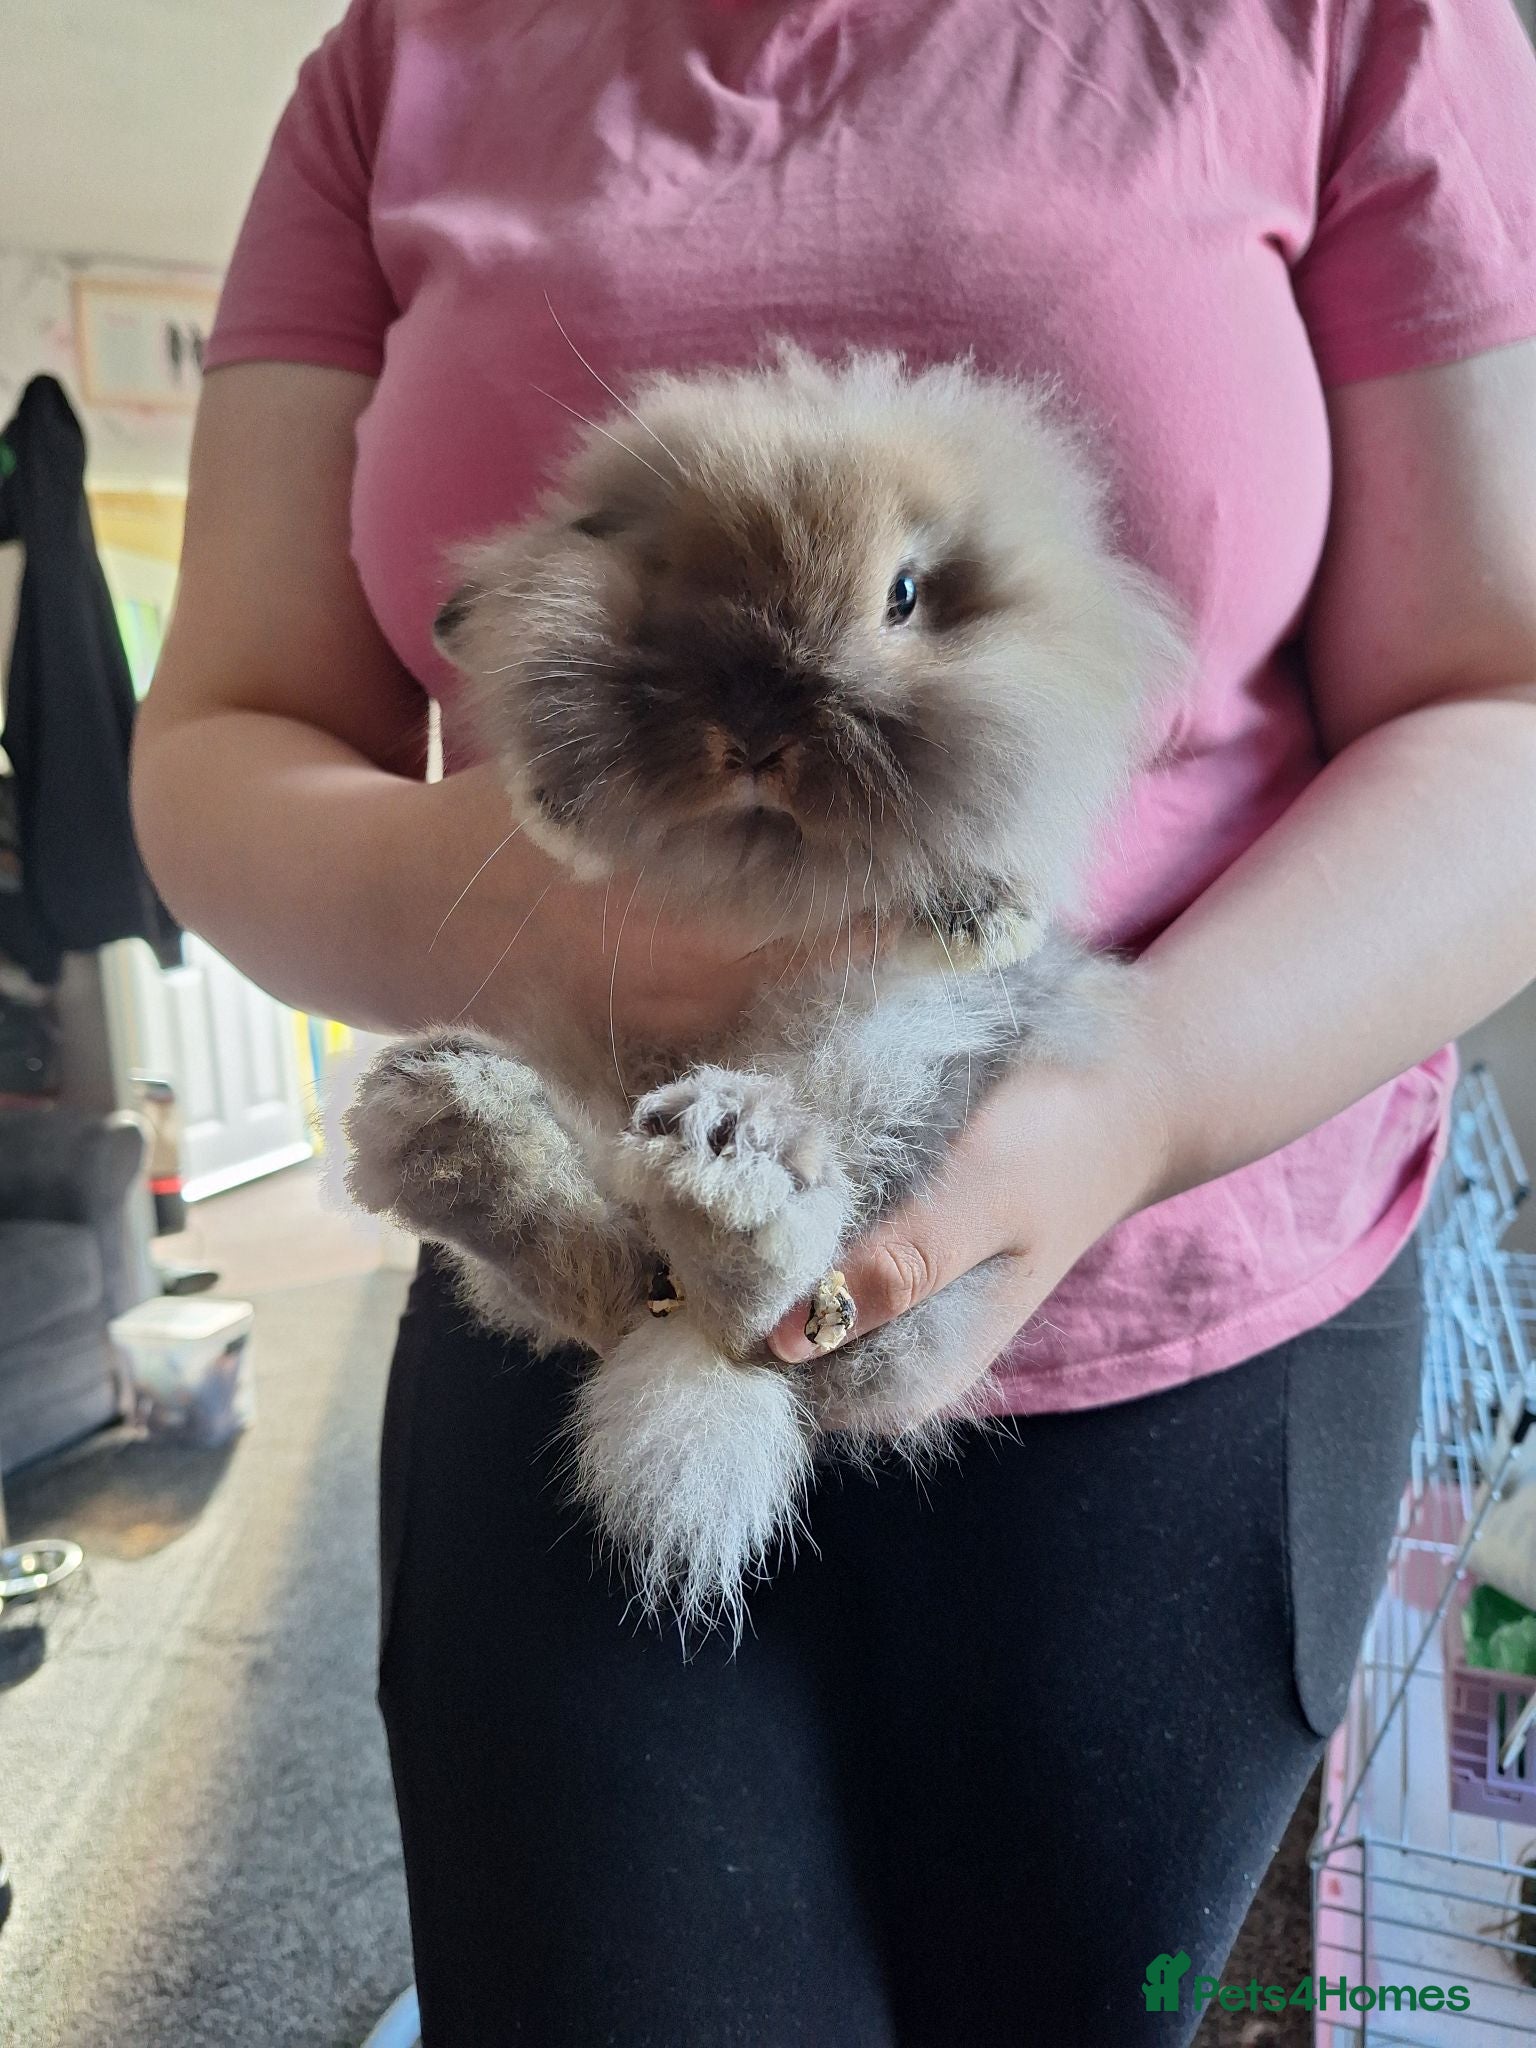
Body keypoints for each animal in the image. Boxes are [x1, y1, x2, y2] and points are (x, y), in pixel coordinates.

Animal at [345, 344, 1186, 1635]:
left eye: (904, 595)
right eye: (667, 580)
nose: (753, 733)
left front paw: (984, 914)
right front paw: (560, 825)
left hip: (903, 1055)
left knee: (788, 1281)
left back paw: (722, 1164)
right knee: (596, 1263)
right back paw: (457, 1125)